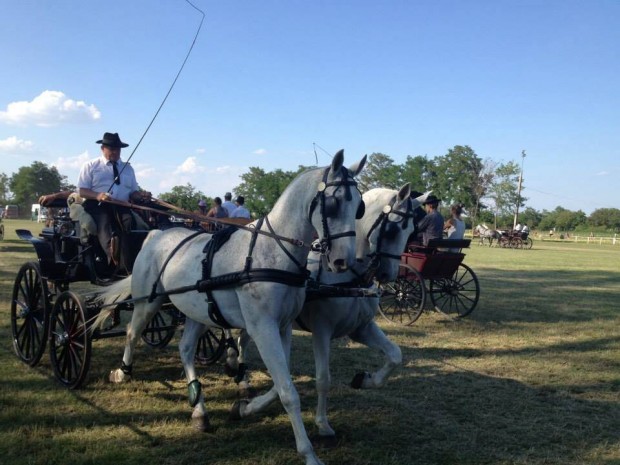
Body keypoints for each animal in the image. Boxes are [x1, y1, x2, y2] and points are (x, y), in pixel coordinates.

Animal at [94, 150, 366, 464]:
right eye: (333, 203)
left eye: (359, 207)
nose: (343, 262)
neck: (272, 252)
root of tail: (155, 235)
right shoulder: (263, 329)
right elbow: (287, 391)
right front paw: (308, 453)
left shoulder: (283, 327)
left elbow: (278, 386)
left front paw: (244, 408)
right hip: (147, 303)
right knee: (132, 333)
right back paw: (122, 373)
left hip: (196, 312)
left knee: (185, 349)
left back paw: (199, 411)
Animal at [225, 184, 428, 442]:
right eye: (392, 230)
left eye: (412, 232)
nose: (388, 275)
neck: (348, 278)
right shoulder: (322, 330)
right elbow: (323, 379)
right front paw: (322, 424)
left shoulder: (361, 328)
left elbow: (395, 355)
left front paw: (365, 379)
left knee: (243, 339)